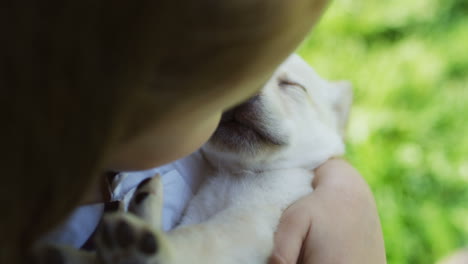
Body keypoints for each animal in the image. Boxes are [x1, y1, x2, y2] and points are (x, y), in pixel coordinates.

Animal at [35, 53, 352, 264]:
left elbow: (197, 238)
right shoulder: (197, 212)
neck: (234, 173)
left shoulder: (250, 223)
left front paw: (150, 246)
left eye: (292, 86)